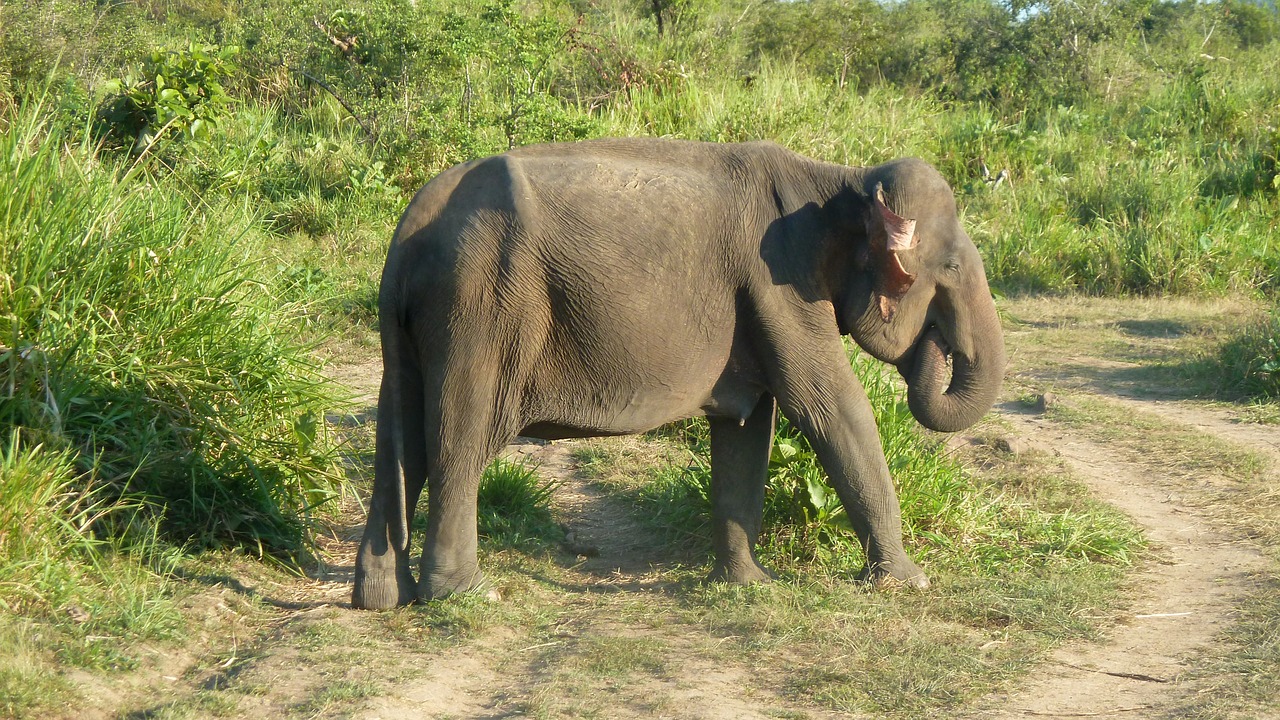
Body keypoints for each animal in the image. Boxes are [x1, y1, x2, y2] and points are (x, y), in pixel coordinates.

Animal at [350, 137, 998, 607]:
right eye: (949, 267)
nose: (936, 346)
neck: (838, 179)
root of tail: (407, 233)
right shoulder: (782, 285)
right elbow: (830, 408)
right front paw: (909, 583)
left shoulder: (762, 302)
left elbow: (747, 430)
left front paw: (748, 585)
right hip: (481, 309)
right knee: (459, 439)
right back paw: (464, 596)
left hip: (420, 327)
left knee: (400, 440)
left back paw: (380, 597)